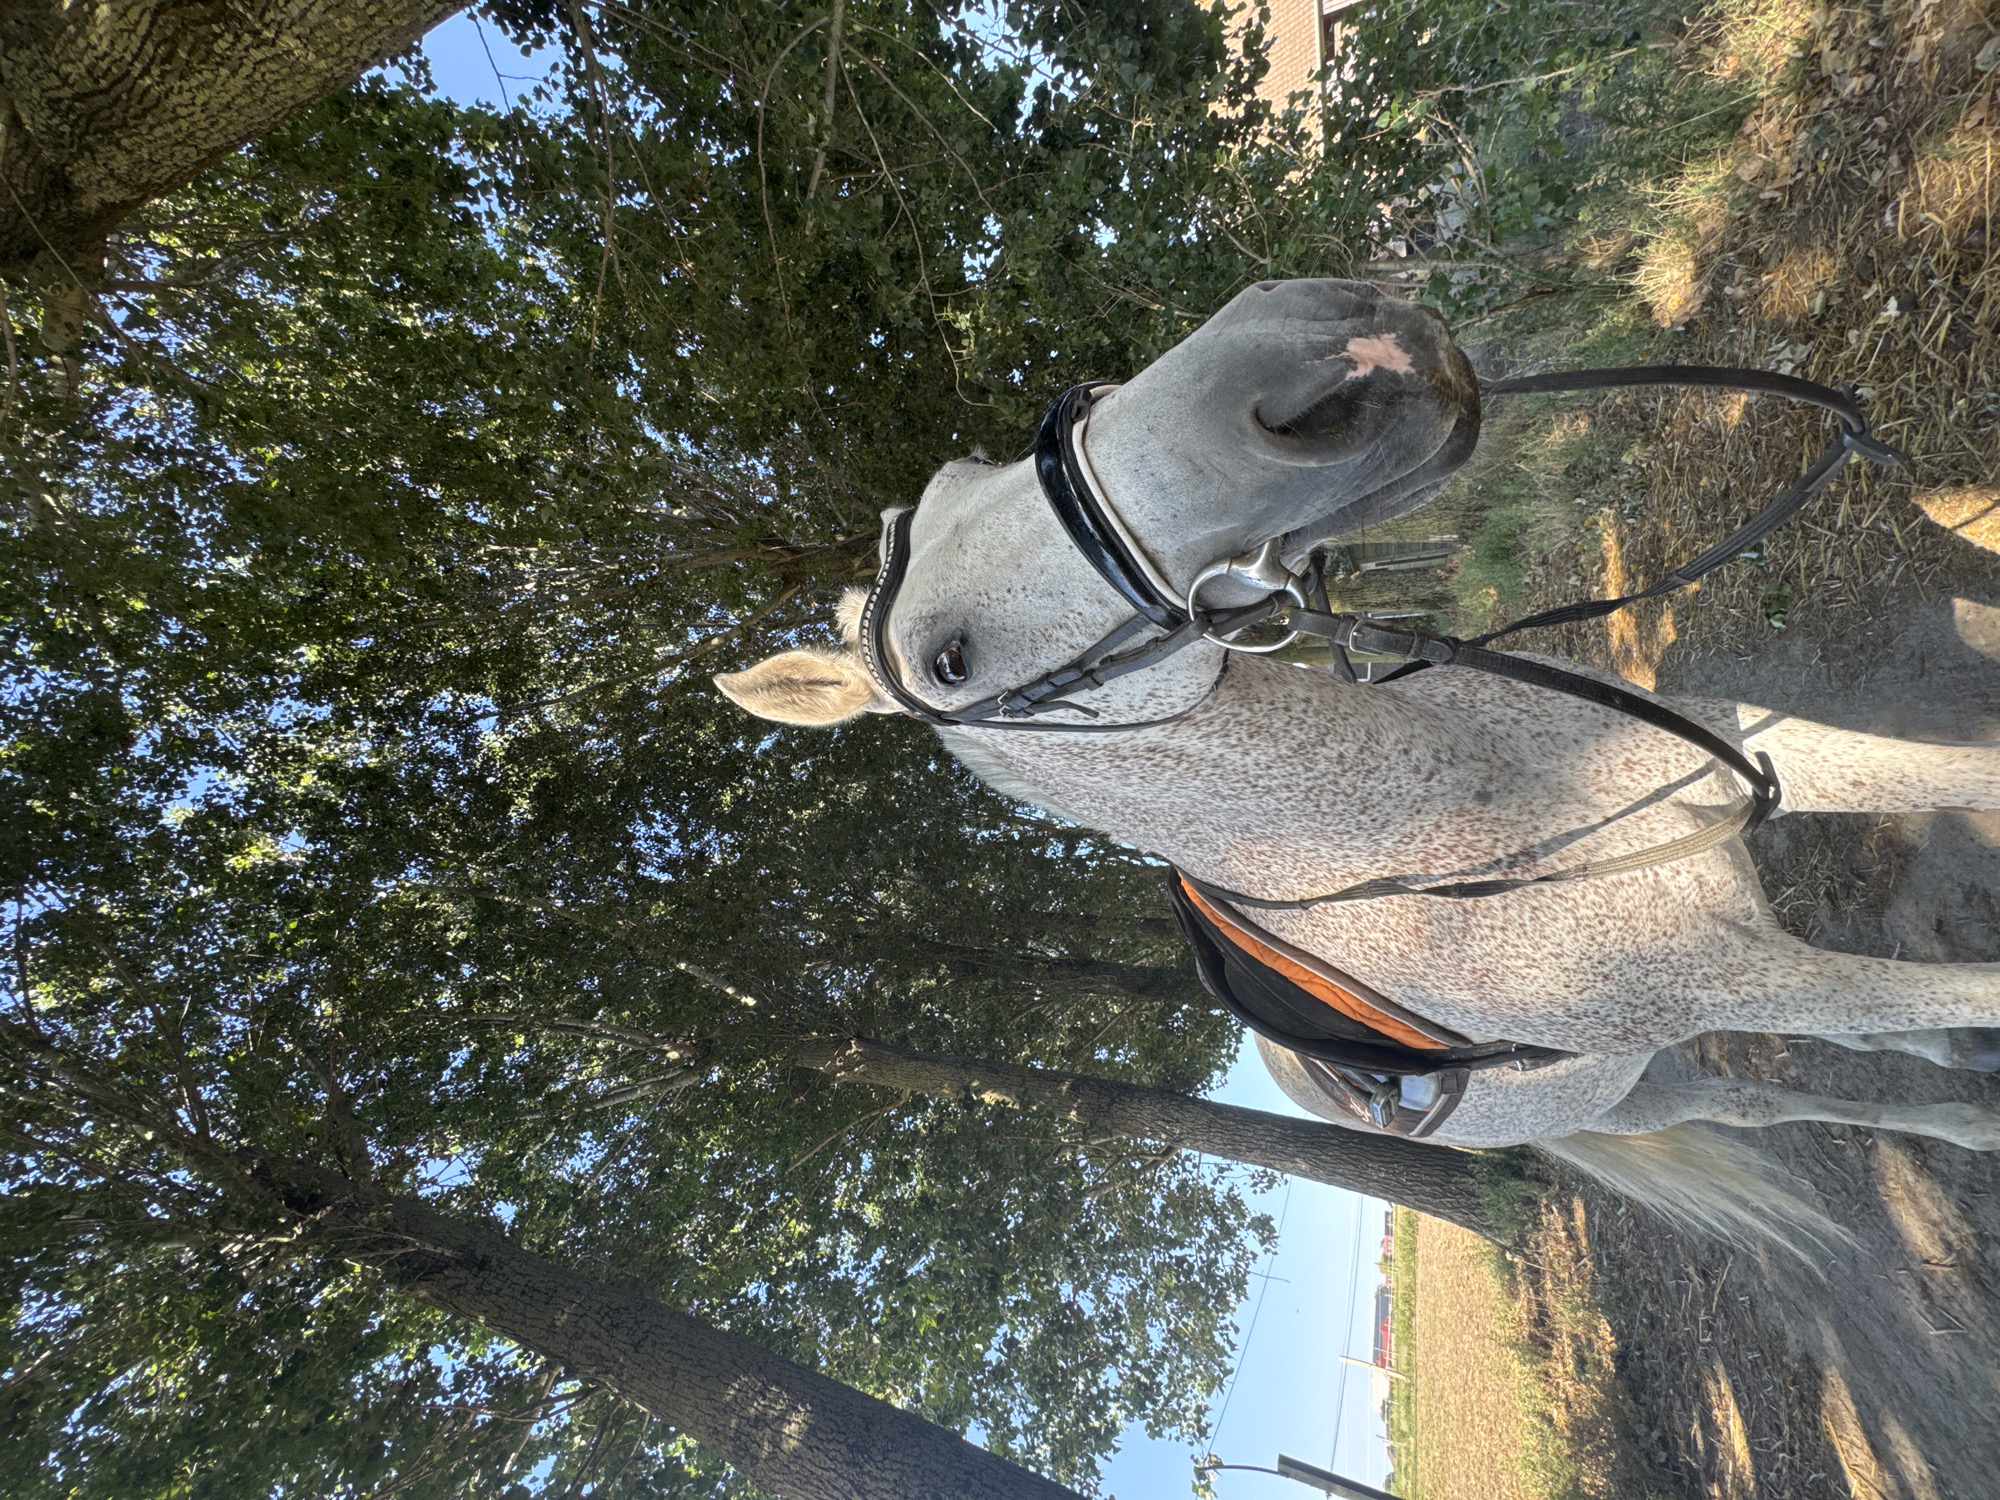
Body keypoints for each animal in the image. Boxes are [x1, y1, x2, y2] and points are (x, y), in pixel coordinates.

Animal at [715, 277, 2000, 1249]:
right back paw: (1957, 1116)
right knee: (1755, 1099)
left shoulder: (1771, 754)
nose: (1320, 353)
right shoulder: (1726, 981)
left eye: (962, 470)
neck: (1454, 817)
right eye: (947, 658)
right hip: (1646, 1075)